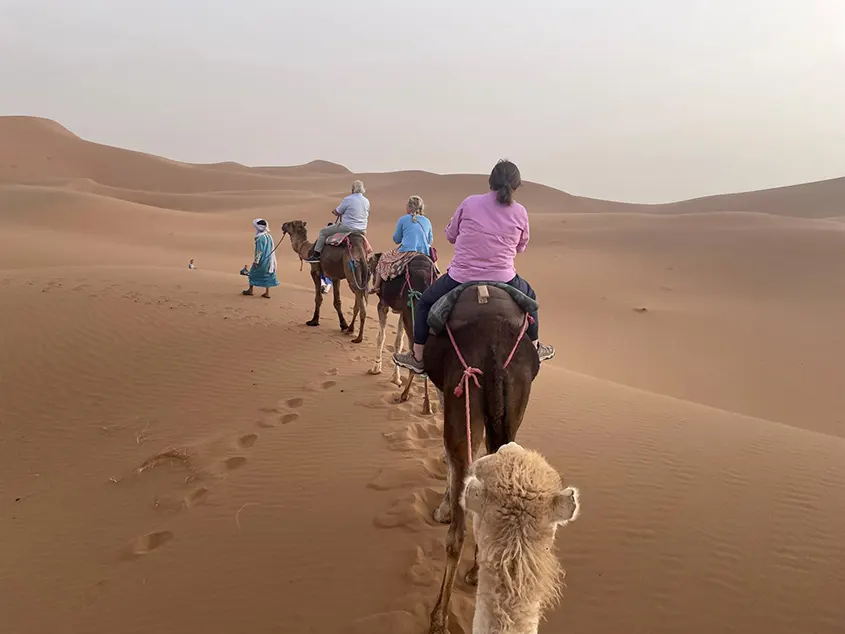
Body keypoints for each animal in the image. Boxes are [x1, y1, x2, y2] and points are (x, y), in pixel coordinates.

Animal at [368, 252, 438, 414]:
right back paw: (427, 405)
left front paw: (375, 369)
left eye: (371, 264)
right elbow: (398, 342)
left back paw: (405, 395)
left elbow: (381, 337)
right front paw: (396, 378)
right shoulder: (401, 311)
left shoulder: (383, 304)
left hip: (411, 312)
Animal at [420, 282, 540, 632]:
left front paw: (443, 509)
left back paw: (438, 619)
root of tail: (494, 347)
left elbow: (450, 462)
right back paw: (476, 572)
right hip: (514, 398)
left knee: (457, 533)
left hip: (463, 392)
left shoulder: (447, 396)